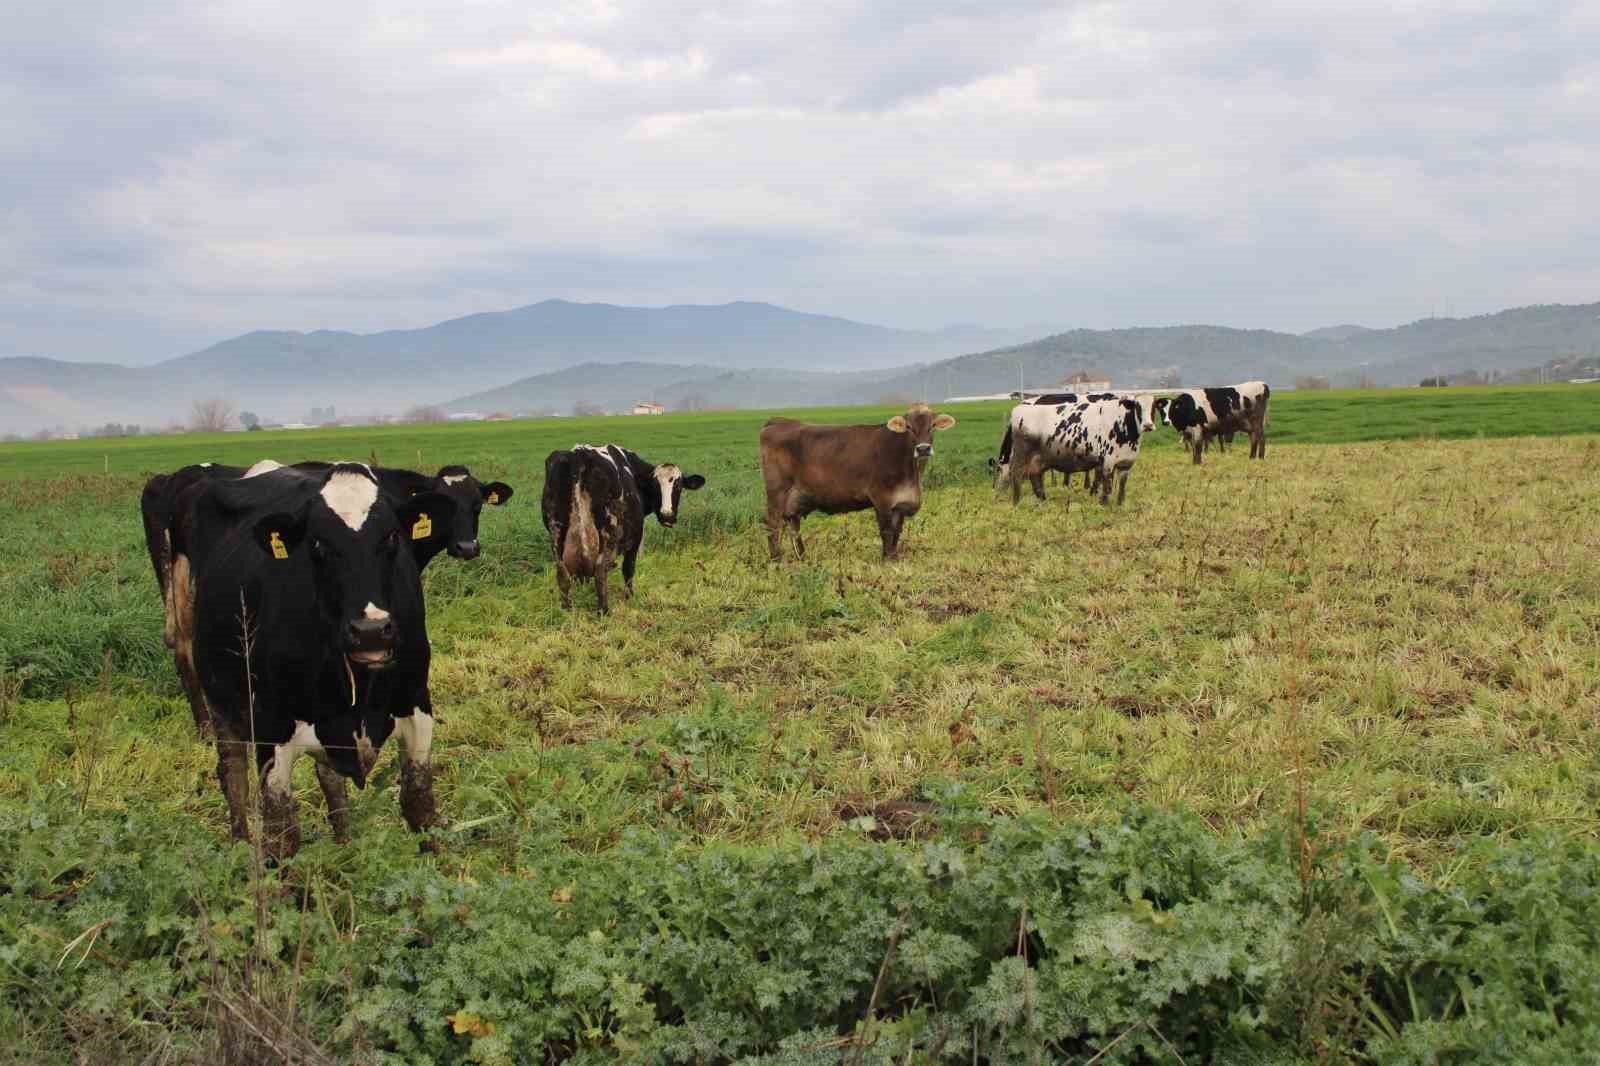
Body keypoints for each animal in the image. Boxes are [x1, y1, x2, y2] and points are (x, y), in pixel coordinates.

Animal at [169, 464, 457, 857]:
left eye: (392, 537)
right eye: (318, 544)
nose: (370, 631)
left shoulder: (416, 705)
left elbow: (419, 806)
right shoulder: (272, 731)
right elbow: (281, 836)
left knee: (330, 778)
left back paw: (344, 842)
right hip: (220, 698)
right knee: (233, 774)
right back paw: (240, 844)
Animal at [540, 438, 704, 605]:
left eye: (679, 486)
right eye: (655, 486)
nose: (667, 515)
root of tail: (579, 454)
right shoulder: (636, 537)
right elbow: (628, 568)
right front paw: (630, 597)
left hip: (556, 532)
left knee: (562, 574)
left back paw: (567, 608)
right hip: (608, 533)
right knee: (600, 572)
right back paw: (604, 609)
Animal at [758, 403, 953, 560]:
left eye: (932, 426)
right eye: (909, 427)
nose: (923, 449)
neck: (912, 474)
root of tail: (779, 421)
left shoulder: (900, 503)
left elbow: (897, 531)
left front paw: (894, 557)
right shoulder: (881, 498)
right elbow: (886, 531)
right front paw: (887, 559)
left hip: (795, 498)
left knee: (793, 525)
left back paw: (802, 557)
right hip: (777, 492)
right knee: (772, 524)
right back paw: (776, 559)